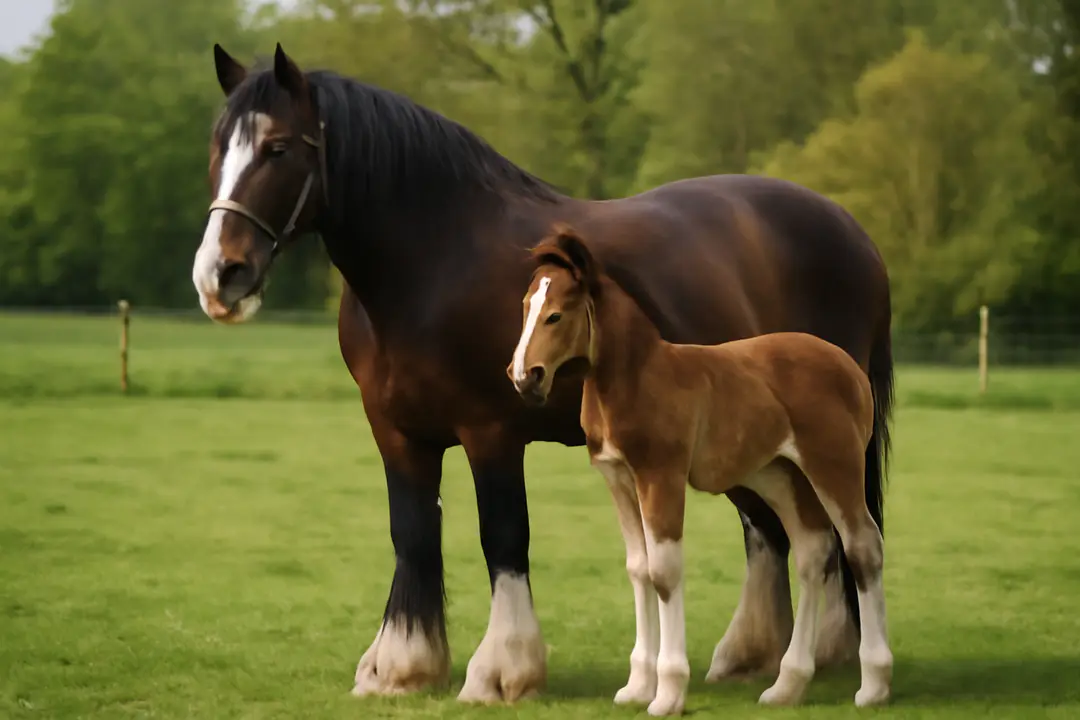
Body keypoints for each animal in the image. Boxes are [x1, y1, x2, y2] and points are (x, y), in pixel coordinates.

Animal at [509, 225, 892, 714]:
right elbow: (639, 568)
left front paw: (668, 693)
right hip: (782, 476)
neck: (637, 378)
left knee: (862, 545)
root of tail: (851, 369)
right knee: (813, 551)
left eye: (556, 315)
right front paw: (637, 687)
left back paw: (874, 685)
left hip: (833, 466)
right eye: (525, 307)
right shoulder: (619, 480)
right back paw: (786, 686)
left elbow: (664, 571)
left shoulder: (662, 475)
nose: (524, 377)